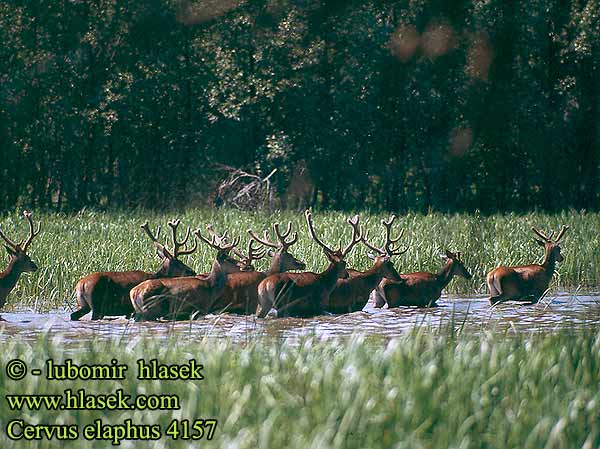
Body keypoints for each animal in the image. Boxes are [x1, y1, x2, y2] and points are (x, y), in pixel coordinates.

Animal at [69, 220, 197, 318]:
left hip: (83, 305)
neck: (156, 276)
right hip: (97, 306)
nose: (192, 271)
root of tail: (81, 285)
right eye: (178, 262)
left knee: (73, 315)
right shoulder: (131, 309)